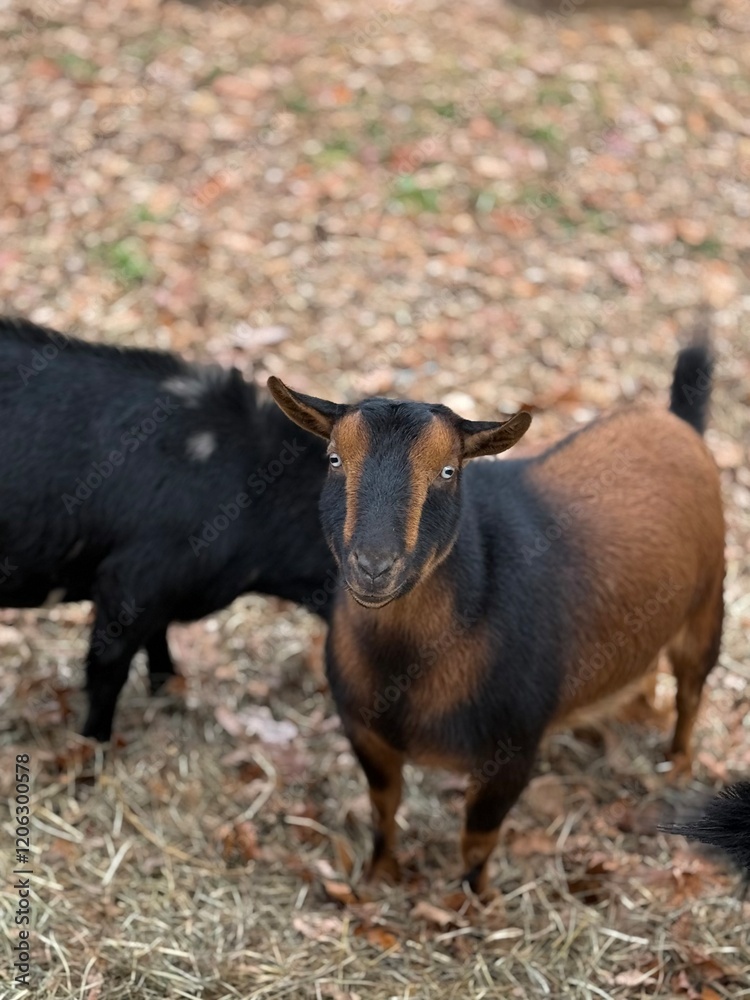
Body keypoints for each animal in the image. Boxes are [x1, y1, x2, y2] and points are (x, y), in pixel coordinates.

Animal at [268, 341, 725, 894]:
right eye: (334, 459)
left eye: (448, 471)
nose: (374, 566)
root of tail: (676, 422)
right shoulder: (366, 733)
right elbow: (383, 807)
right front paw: (381, 876)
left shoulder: (512, 749)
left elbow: (477, 837)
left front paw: (472, 901)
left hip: (708, 604)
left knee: (692, 690)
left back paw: (677, 765)